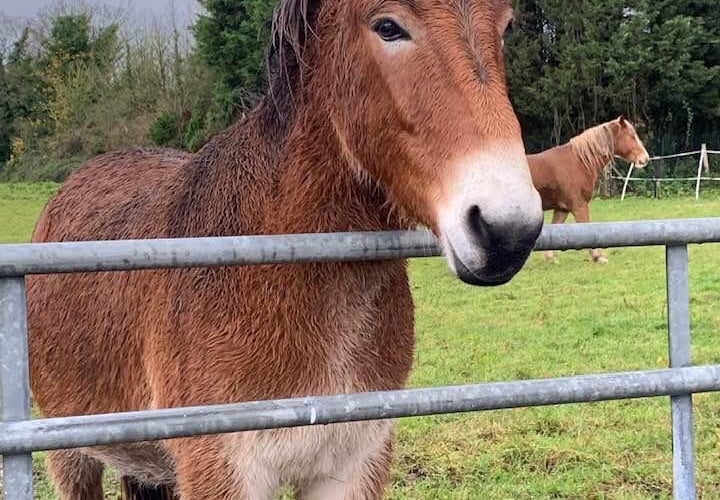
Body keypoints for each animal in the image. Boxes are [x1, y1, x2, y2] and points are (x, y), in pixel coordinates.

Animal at [28, 0, 544, 500]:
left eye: (506, 27)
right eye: (388, 27)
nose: (508, 232)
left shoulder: (352, 464)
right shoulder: (222, 470)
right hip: (71, 456)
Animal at [524, 117, 648, 264]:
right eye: (632, 136)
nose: (645, 158)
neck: (578, 162)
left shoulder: (562, 209)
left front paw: (550, 258)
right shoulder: (579, 206)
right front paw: (597, 257)